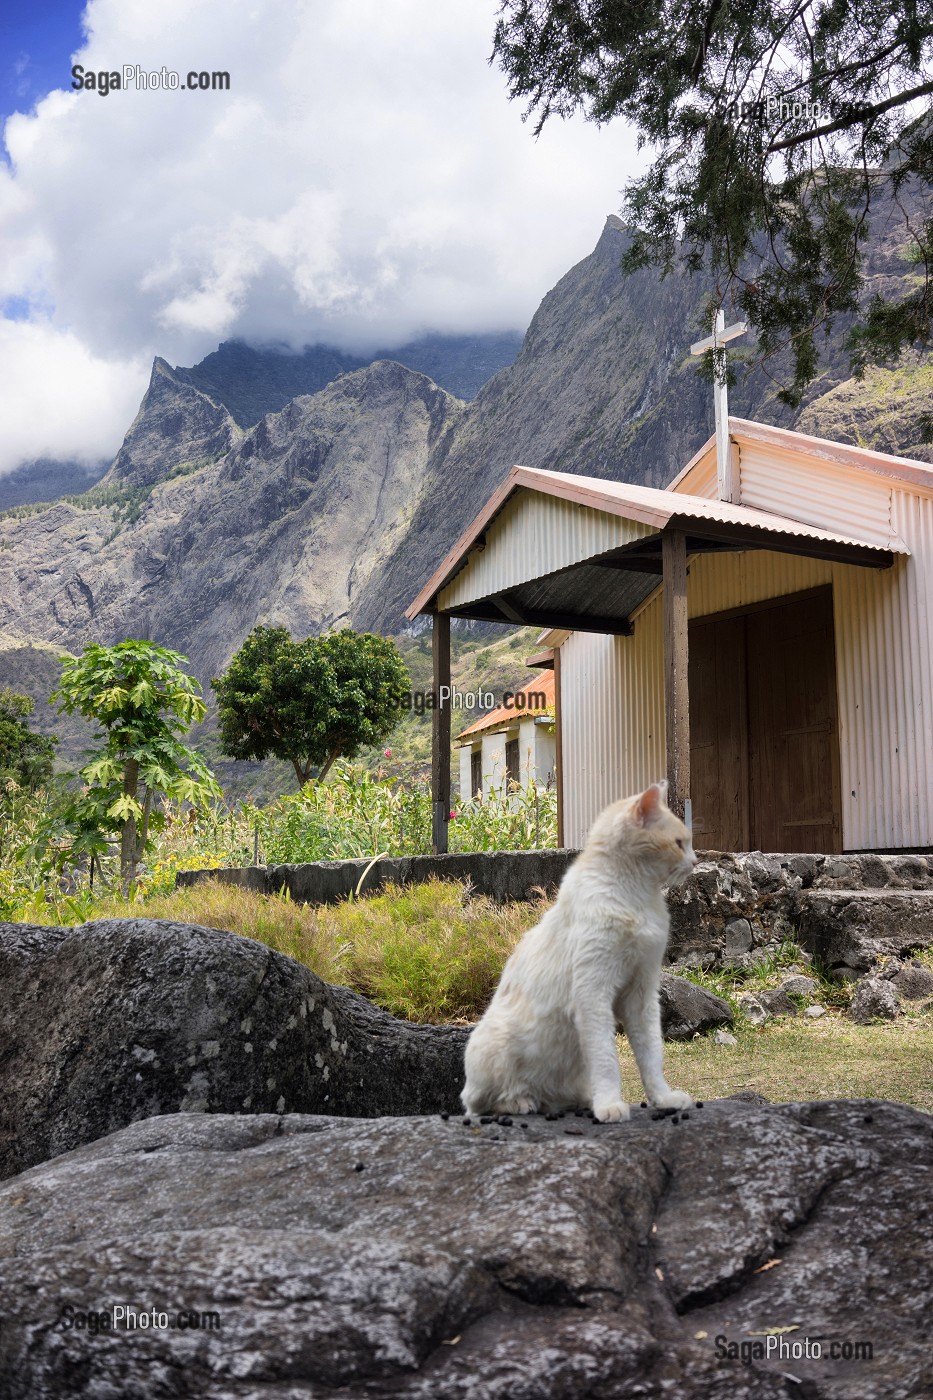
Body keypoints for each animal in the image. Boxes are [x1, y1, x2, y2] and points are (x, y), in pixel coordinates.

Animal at [462, 784, 694, 1120]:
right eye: (679, 843)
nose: (696, 861)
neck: (638, 895)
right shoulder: (593, 994)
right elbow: (607, 1059)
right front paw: (610, 1105)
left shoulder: (641, 994)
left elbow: (652, 1055)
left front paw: (663, 1099)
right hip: (492, 1044)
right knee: (478, 1104)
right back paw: (520, 1102)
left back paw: (577, 1101)